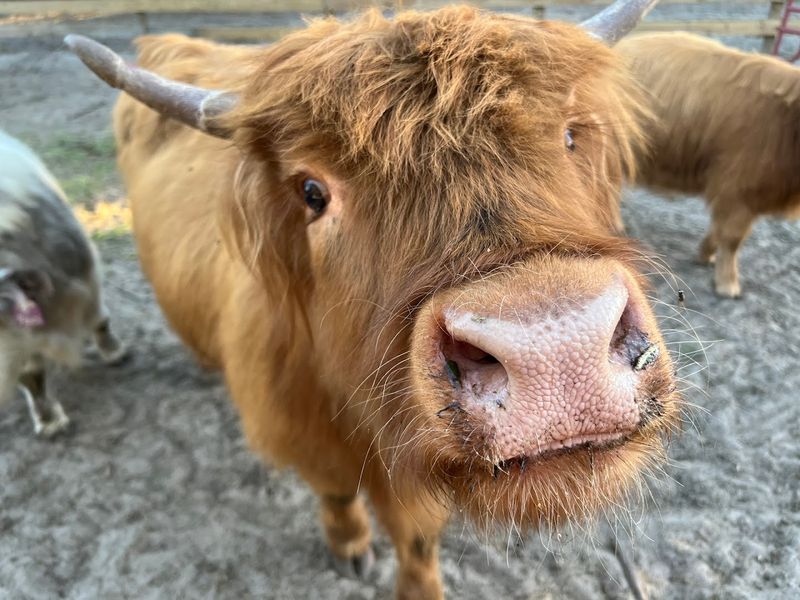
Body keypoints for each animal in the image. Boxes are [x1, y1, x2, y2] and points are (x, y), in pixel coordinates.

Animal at [68, 2, 679, 597]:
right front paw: (350, 547)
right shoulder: (306, 435)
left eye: (570, 136)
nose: (556, 347)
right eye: (312, 192)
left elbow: (417, 538)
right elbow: (338, 493)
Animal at [617, 32, 800, 298]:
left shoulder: (733, 190)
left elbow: (720, 228)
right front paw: (727, 284)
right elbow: (733, 238)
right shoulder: (739, 187)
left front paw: (706, 254)